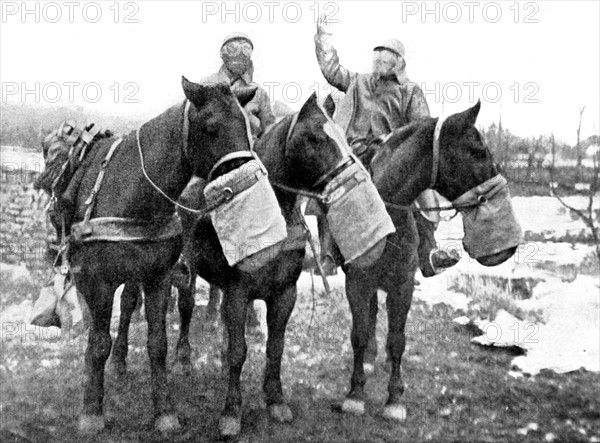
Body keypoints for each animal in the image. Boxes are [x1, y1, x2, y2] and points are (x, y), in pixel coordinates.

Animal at [68, 78, 255, 436]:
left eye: (247, 125)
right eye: (211, 126)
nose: (246, 178)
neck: (133, 192)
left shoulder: (156, 278)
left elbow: (158, 345)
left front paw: (164, 412)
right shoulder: (98, 282)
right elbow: (98, 343)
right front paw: (91, 411)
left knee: (130, 304)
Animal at [336, 101, 524, 424]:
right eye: (478, 151)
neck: (386, 215)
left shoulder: (403, 284)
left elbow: (397, 340)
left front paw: (394, 399)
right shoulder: (357, 281)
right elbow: (358, 335)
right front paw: (355, 393)